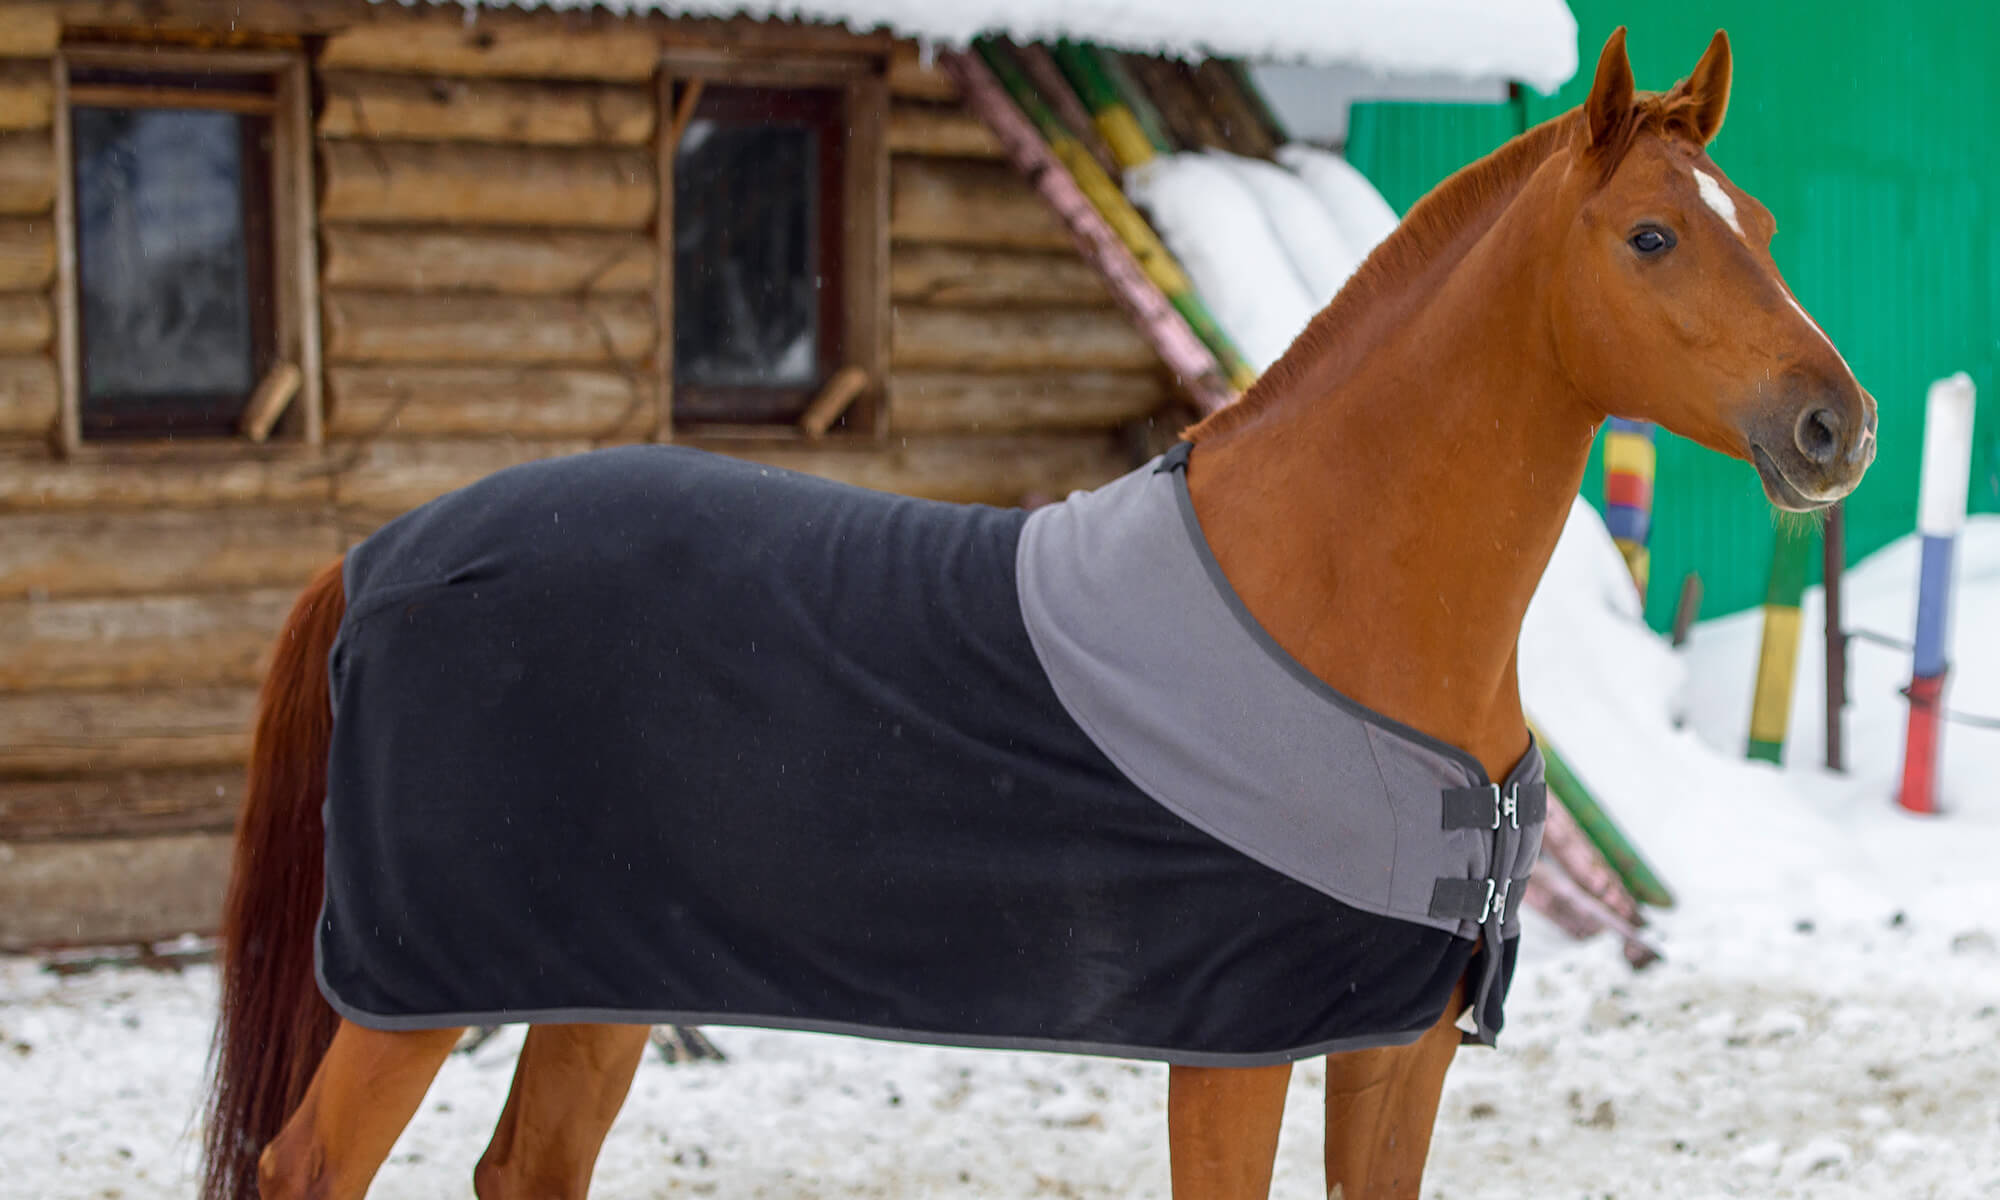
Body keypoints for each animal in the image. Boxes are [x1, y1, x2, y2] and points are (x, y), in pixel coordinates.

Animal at [202, 28, 1875, 1200]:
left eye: (1765, 223)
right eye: (1652, 237)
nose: (1835, 429)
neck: (1339, 607)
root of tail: (377, 557)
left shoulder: (1393, 1053)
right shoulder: (1234, 1050)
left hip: (590, 970)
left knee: (528, 1167)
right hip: (409, 990)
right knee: (308, 1168)